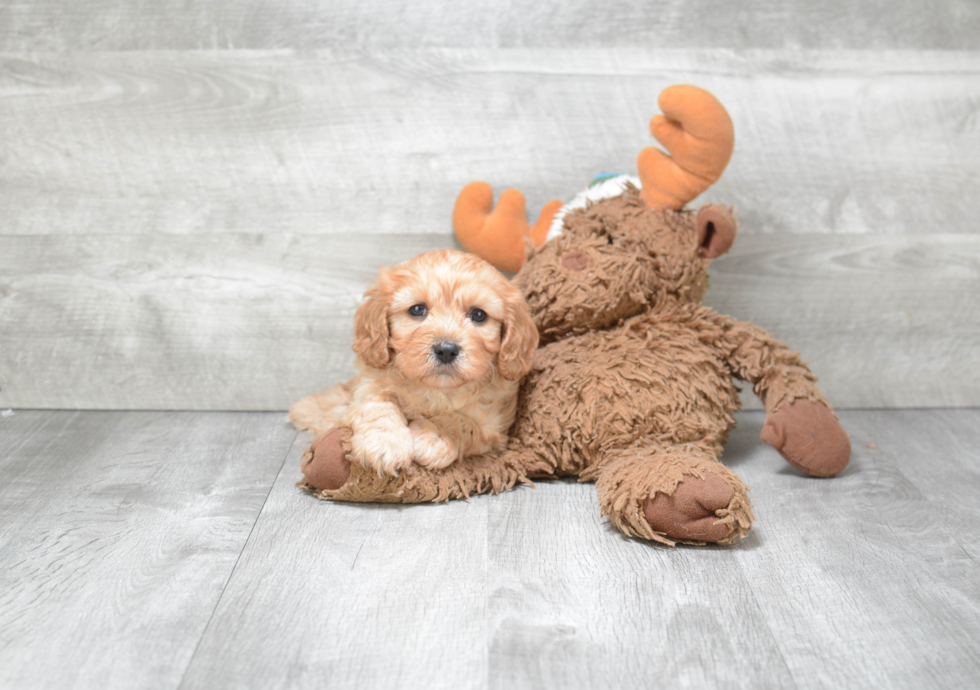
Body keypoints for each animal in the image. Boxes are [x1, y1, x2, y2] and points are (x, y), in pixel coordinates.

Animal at [290, 250, 536, 476]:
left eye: (478, 315)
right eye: (417, 309)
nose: (446, 350)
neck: (437, 390)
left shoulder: (495, 428)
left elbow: (463, 423)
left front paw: (434, 437)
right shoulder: (371, 385)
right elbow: (378, 407)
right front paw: (384, 444)